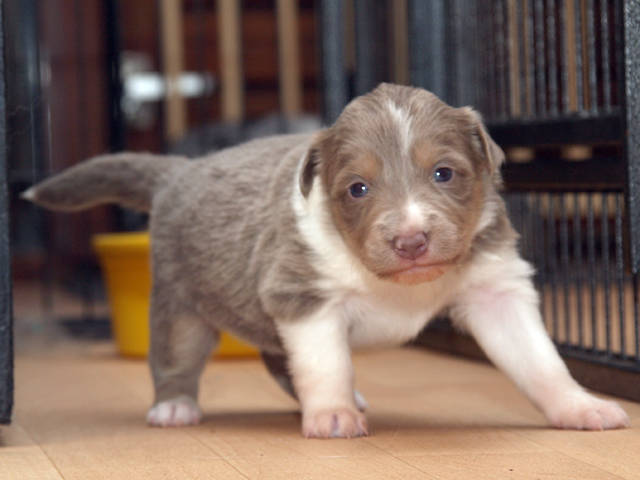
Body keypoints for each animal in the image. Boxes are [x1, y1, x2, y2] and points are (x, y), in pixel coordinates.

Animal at [23, 84, 629, 437]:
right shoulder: (303, 297)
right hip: (181, 308)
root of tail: (179, 168)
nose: (411, 240)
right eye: (357, 188)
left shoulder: (496, 288)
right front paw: (333, 414)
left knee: (277, 362)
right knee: (175, 360)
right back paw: (174, 408)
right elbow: (324, 363)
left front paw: (582, 407)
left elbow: (540, 362)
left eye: (444, 173)